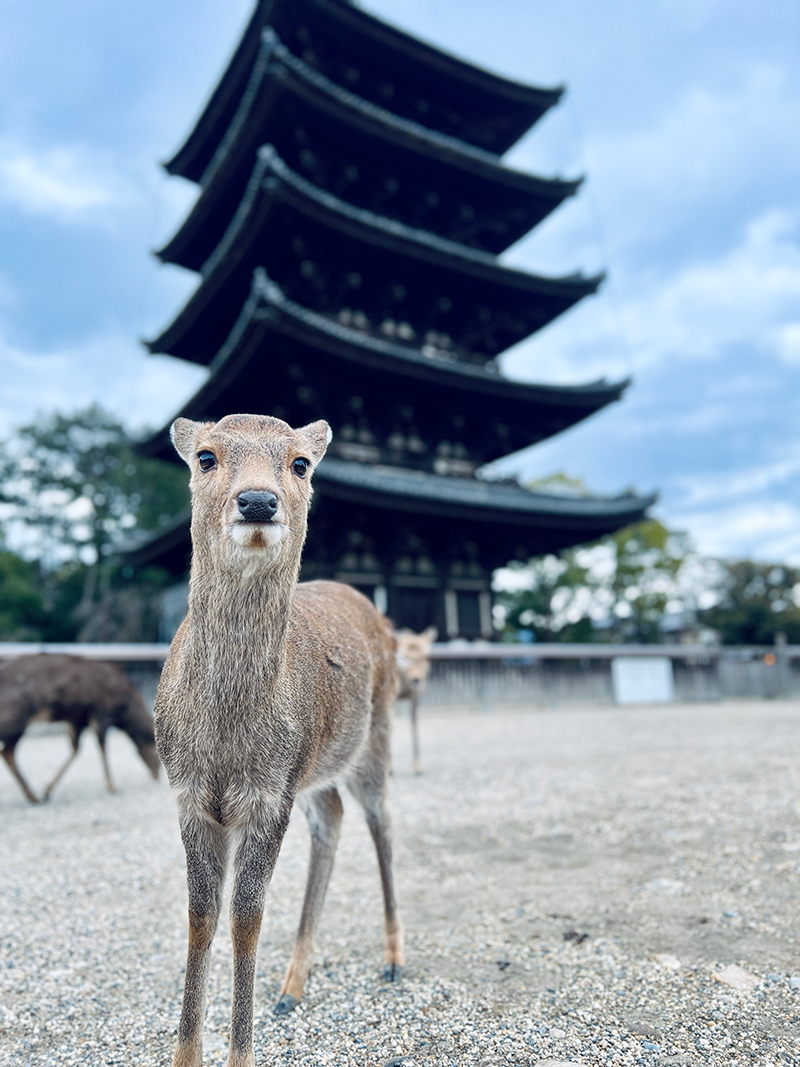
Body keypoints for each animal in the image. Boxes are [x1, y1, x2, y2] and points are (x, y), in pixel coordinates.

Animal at [0, 653, 159, 803]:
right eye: (157, 754)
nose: (157, 776)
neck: (124, 711)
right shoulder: (101, 711)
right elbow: (102, 745)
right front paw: (112, 786)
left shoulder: (78, 718)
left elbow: (76, 748)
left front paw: (48, 789)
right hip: (16, 718)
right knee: (7, 752)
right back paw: (32, 796)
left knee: (7, 752)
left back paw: (33, 796)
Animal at [155, 413, 403, 1067]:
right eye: (206, 456)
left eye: (300, 463)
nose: (258, 501)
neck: (226, 743)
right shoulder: (188, 794)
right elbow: (201, 913)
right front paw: (186, 1054)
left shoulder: (271, 794)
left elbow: (246, 916)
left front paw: (240, 1053)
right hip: (315, 770)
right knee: (332, 817)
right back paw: (292, 986)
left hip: (374, 736)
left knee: (380, 820)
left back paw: (394, 958)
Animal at [395, 627, 437, 775]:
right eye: (404, 657)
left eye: (425, 657)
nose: (416, 680)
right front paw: (390, 769)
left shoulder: (415, 697)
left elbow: (414, 725)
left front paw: (417, 766)